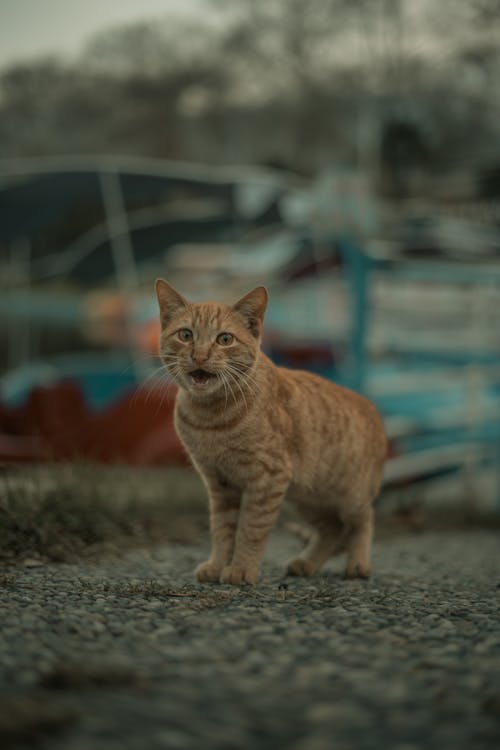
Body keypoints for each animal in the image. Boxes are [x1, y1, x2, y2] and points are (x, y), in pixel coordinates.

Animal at [155, 280, 386, 584]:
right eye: (185, 335)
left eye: (225, 339)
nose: (200, 356)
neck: (211, 418)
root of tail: (371, 407)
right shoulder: (219, 483)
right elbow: (222, 530)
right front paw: (217, 565)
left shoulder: (267, 478)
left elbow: (250, 529)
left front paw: (241, 568)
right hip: (306, 498)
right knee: (332, 529)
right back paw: (306, 563)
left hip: (349, 495)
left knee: (362, 521)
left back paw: (358, 565)